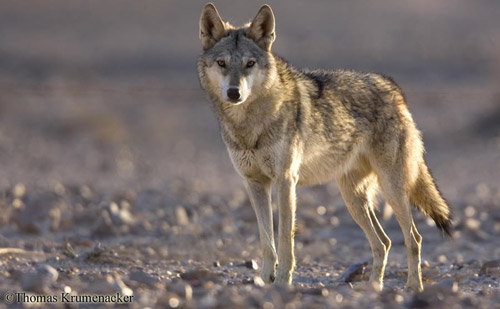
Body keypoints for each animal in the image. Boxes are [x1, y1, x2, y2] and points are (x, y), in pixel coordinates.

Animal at [197, 3, 452, 292]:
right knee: (383, 242)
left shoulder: (286, 180)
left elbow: (284, 240)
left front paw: (282, 282)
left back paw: (413, 288)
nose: (234, 93)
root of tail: (394, 89)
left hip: (392, 190)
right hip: (353, 198)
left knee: (413, 238)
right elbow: (266, 241)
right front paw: (264, 280)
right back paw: (373, 288)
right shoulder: (254, 183)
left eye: (249, 64)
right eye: (222, 63)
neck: (249, 124)